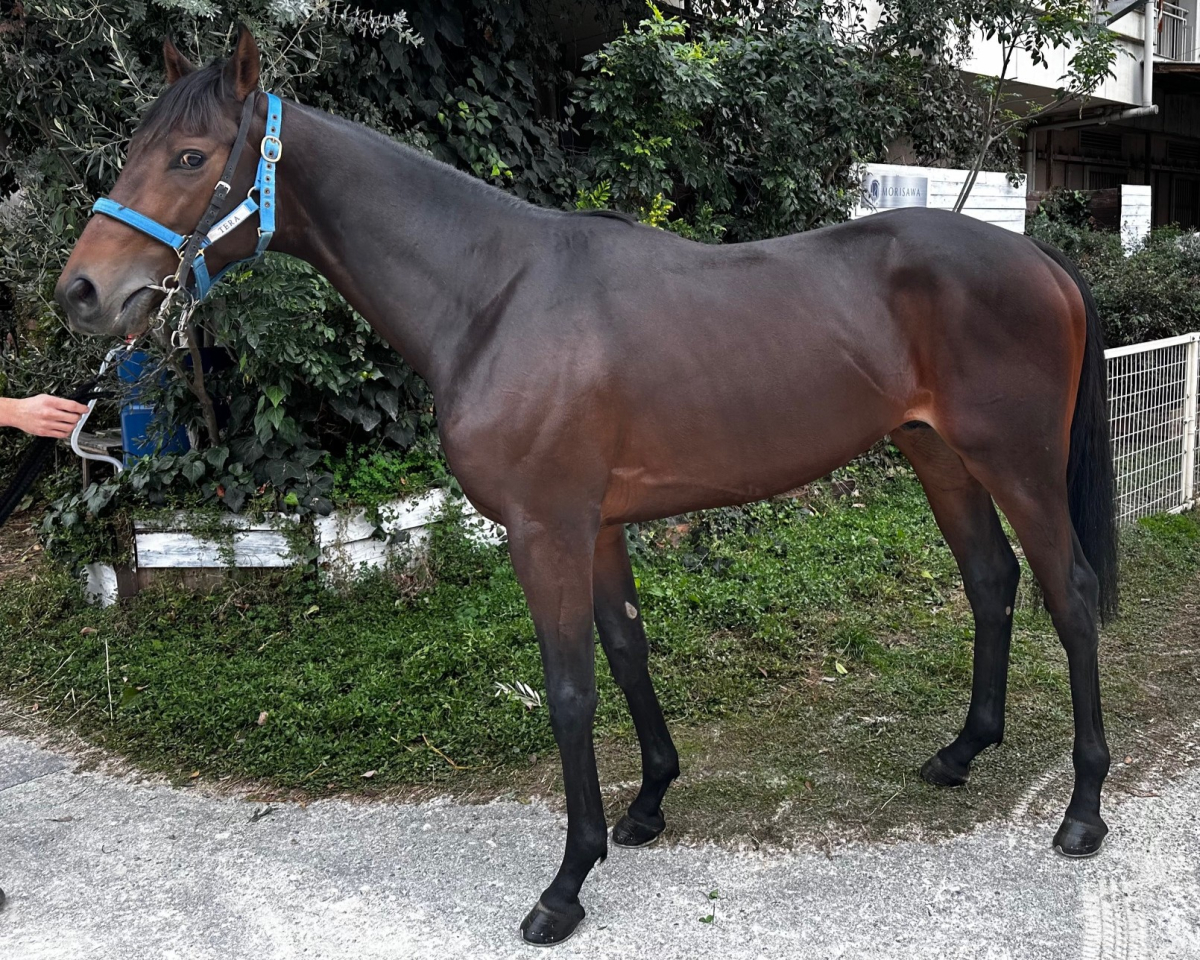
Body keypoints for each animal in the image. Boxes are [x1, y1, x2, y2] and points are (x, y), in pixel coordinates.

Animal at [54, 29, 1117, 946]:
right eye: (136, 148)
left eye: (190, 157)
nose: (80, 293)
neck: (493, 295)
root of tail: (1037, 255)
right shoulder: (598, 526)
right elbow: (628, 651)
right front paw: (647, 805)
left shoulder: (546, 530)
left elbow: (569, 690)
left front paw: (566, 884)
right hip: (936, 454)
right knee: (991, 581)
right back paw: (962, 752)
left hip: (1016, 463)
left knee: (1069, 595)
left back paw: (1082, 812)